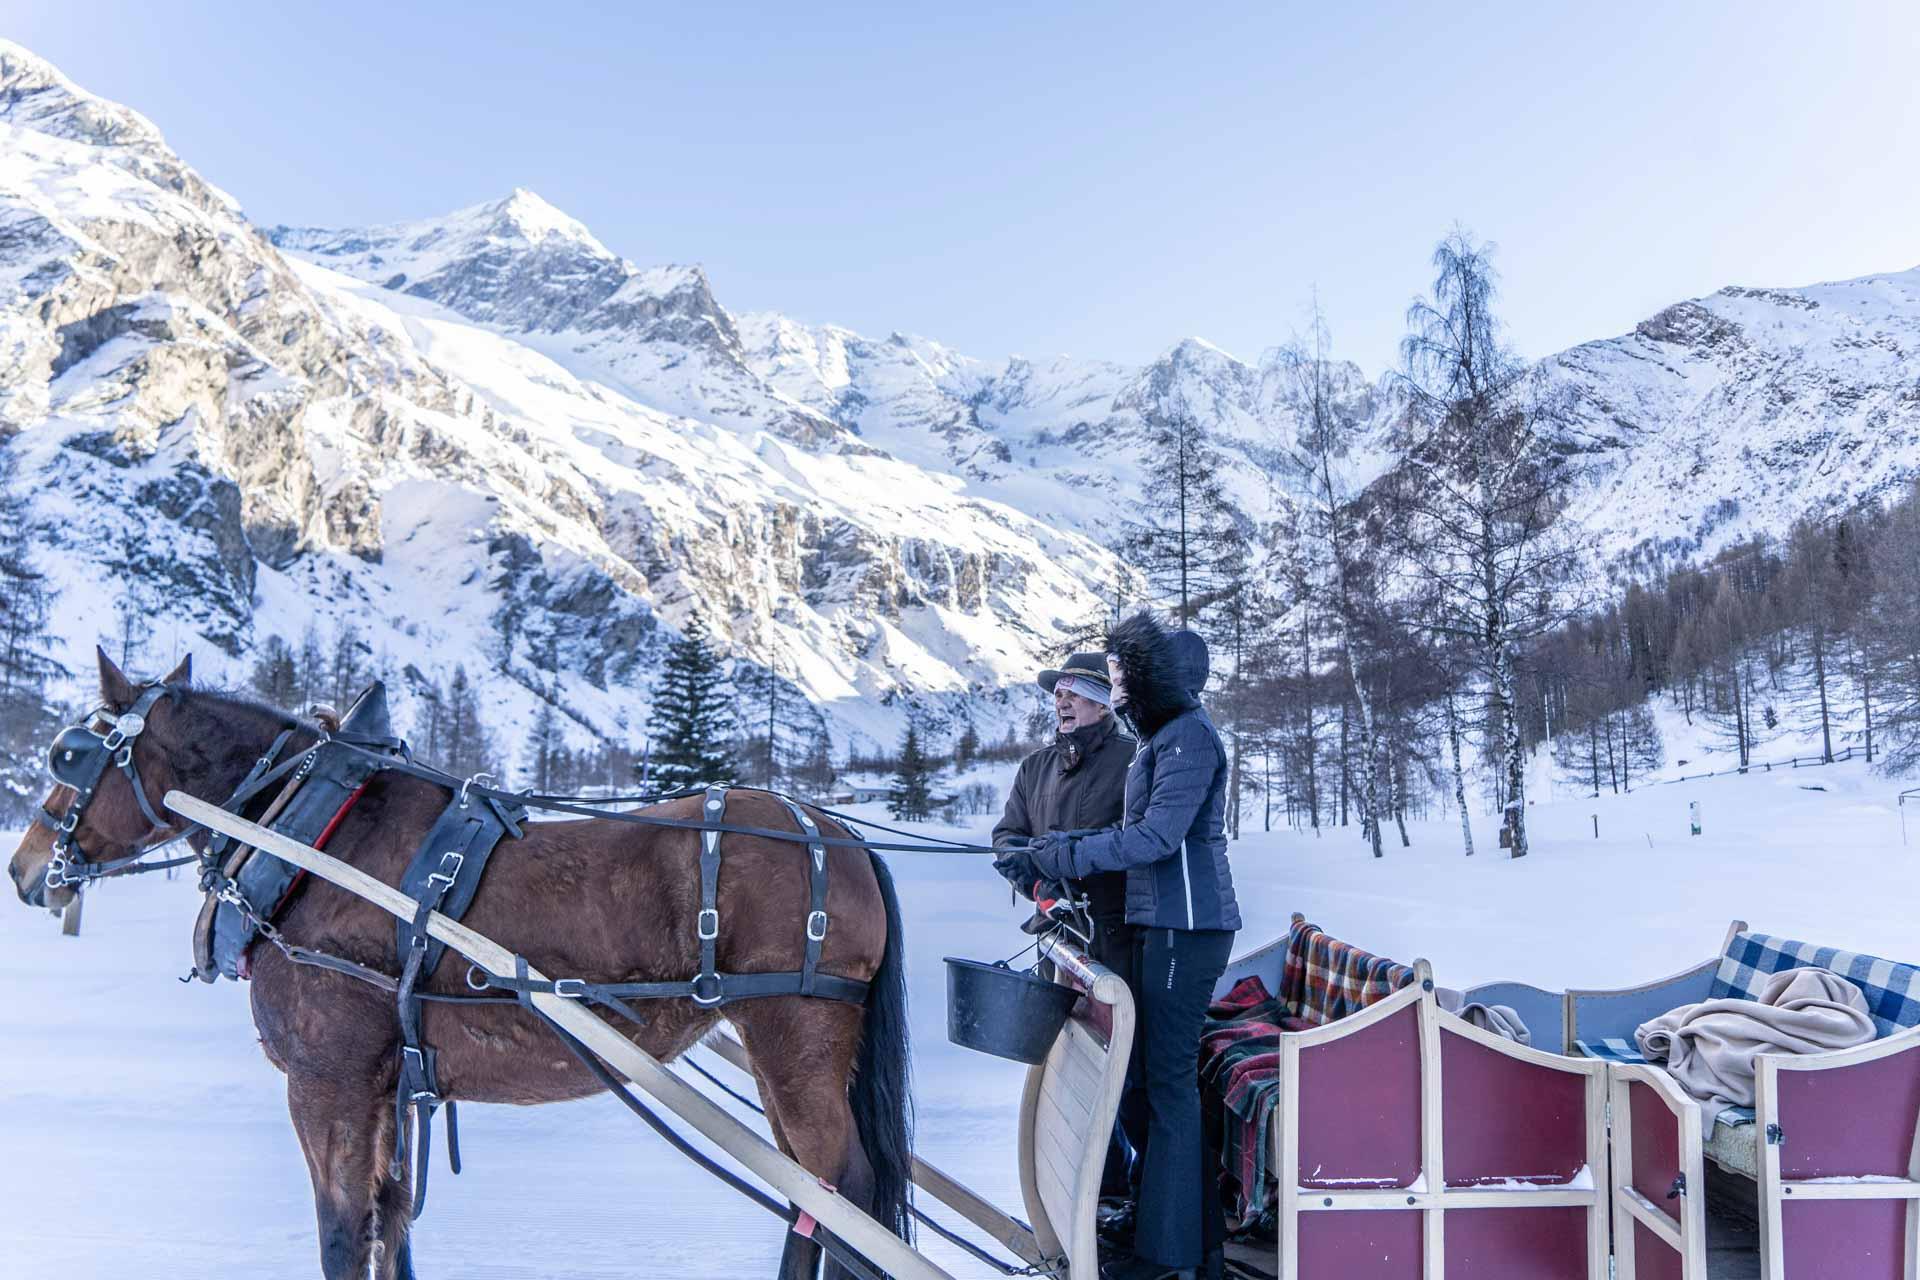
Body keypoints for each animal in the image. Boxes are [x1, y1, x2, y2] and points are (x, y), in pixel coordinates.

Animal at [11, 652, 913, 1280]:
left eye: (69, 756)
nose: (23, 869)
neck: (309, 838)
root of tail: (839, 832)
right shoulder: (385, 1083)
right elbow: (389, 1223)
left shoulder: (326, 1078)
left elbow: (343, 1237)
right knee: (813, 1200)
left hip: (794, 1034)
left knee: (847, 1195)